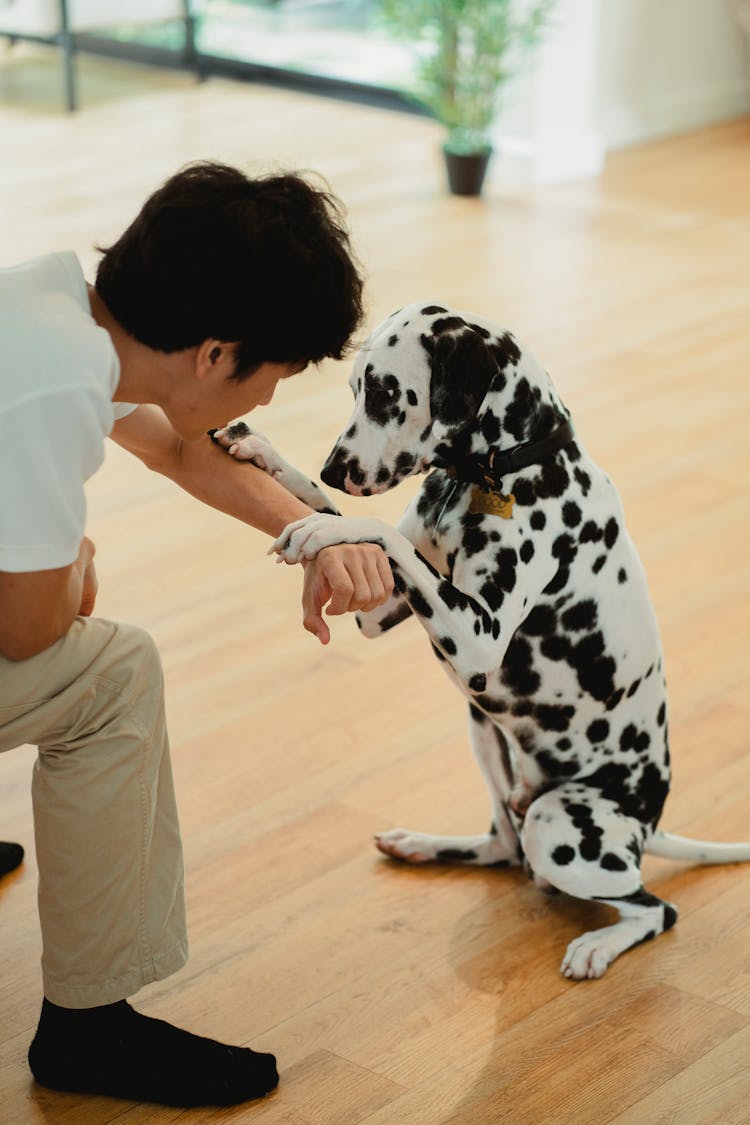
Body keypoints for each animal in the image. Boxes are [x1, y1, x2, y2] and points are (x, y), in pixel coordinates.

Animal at [212, 303, 750, 981]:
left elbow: (378, 530)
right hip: (483, 738)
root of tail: (649, 821)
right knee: (502, 848)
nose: (338, 466)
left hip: (558, 825)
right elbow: (341, 514)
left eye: (386, 393)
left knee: (655, 910)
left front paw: (315, 529)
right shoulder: (382, 608)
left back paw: (598, 947)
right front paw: (265, 453)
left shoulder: (476, 638)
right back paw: (422, 845)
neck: (498, 472)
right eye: (354, 389)